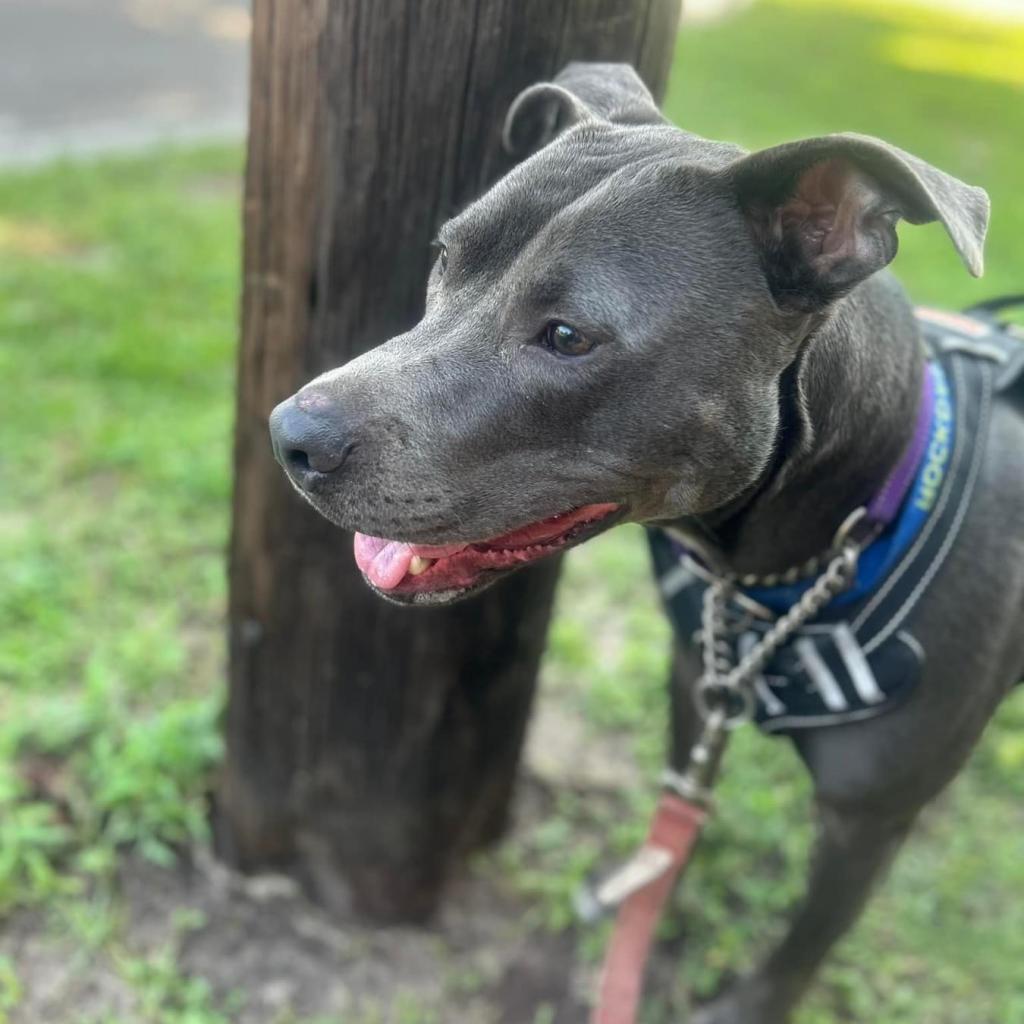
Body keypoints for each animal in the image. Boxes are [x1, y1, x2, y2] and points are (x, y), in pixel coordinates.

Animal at [270, 66, 1024, 1024]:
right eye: (446, 258)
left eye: (567, 336)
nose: (291, 435)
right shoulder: (692, 694)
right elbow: (676, 837)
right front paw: (648, 908)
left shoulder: (865, 824)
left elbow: (802, 948)